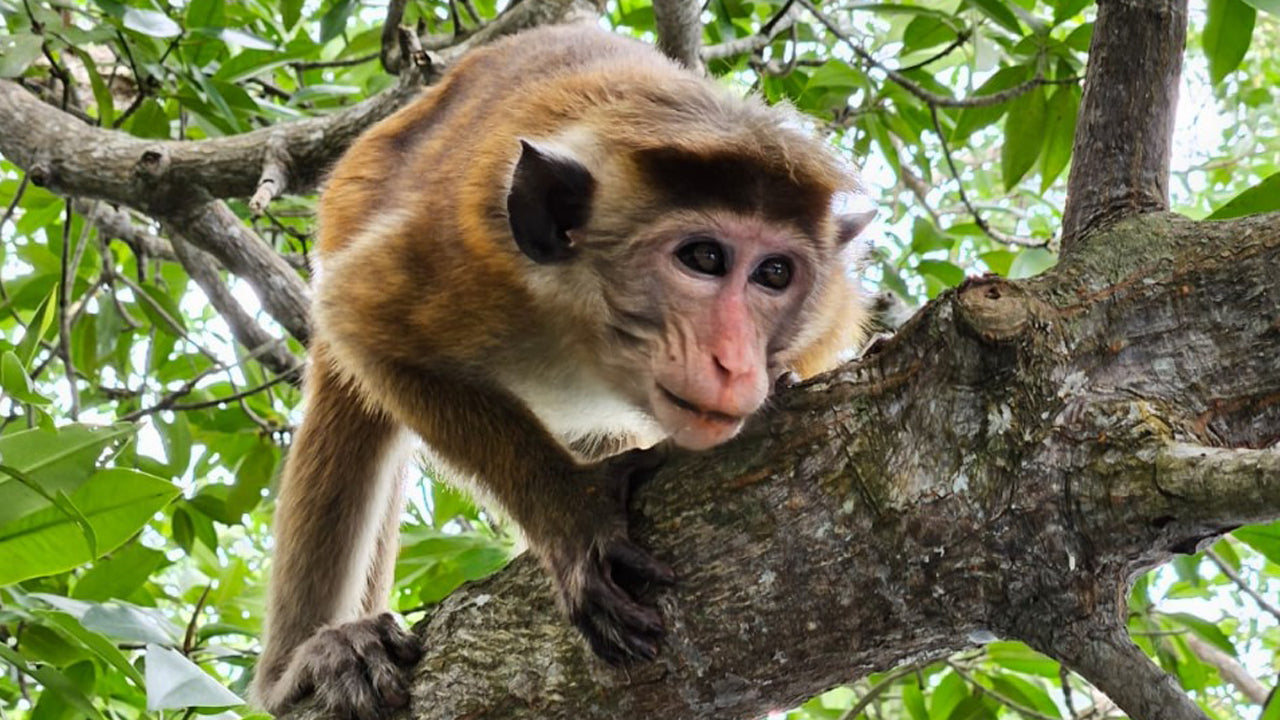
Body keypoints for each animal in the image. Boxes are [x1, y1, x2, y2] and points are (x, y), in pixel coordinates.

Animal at [251, 22, 873, 719]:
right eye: (704, 258)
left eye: (774, 273)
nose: (735, 364)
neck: (591, 340)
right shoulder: (463, 254)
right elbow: (362, 322)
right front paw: (569, 511)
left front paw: (783, 385)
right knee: (351, 402)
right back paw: (303, 662)